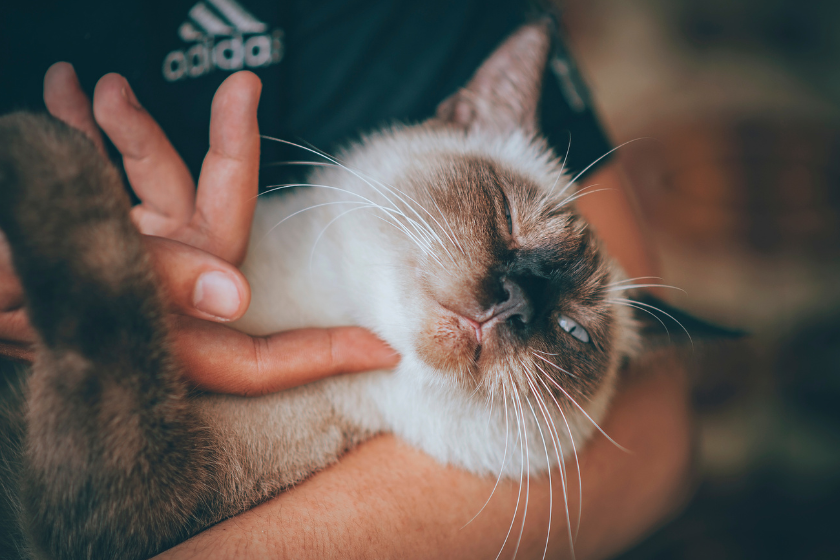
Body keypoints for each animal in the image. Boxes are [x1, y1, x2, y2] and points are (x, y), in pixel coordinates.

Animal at [0, 18, 708, 560]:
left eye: (572, 331)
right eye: (508, 215)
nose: (515, 302)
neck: (304, 304)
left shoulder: (138, 491)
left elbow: (110, 294)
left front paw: (37, 141)